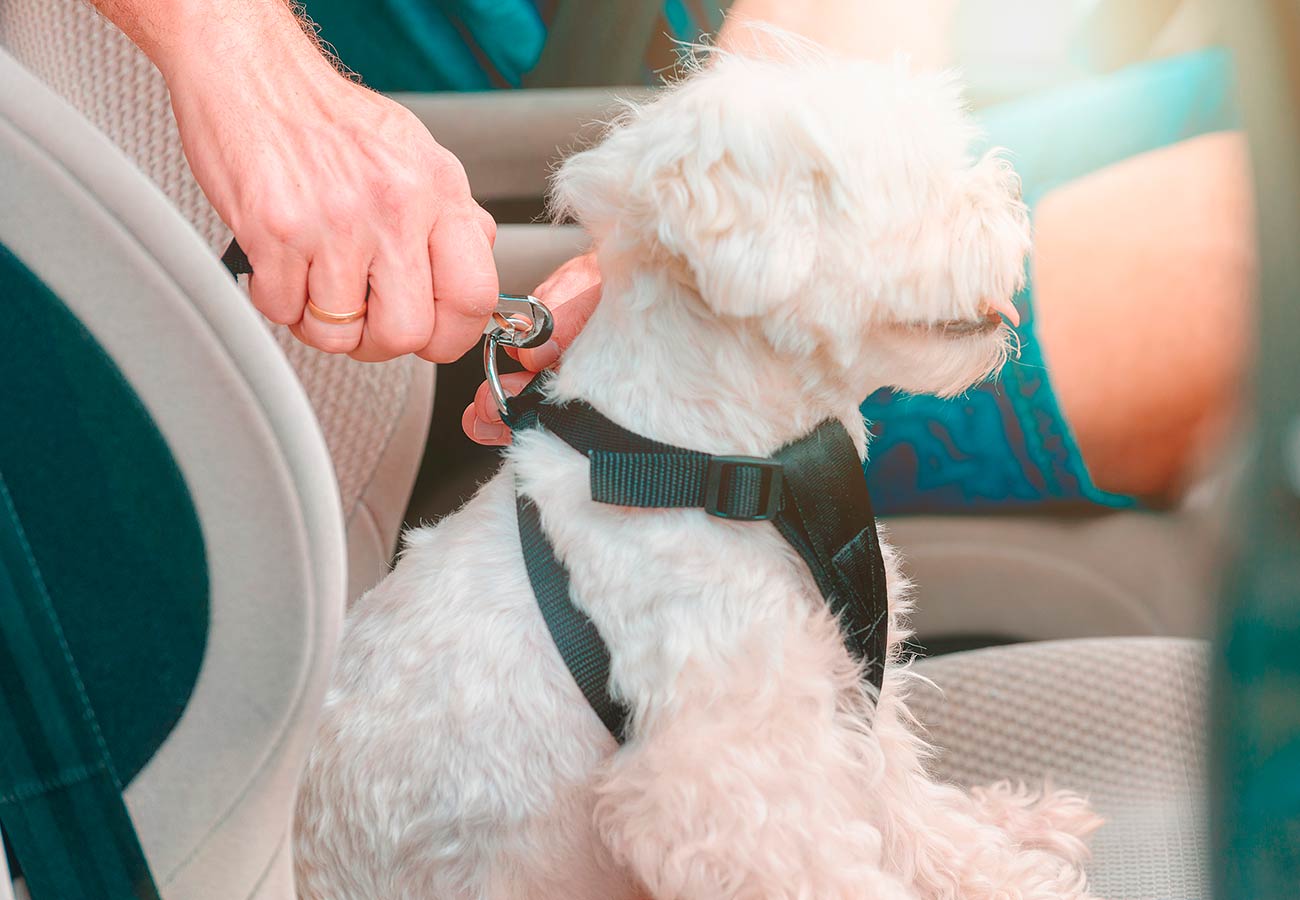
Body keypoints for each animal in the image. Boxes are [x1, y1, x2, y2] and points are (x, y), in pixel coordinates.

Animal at [299, 36, 1102, 900]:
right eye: (910, 179)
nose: (1012, 197)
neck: (721, 464)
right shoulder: (727, 779)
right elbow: (834, 861)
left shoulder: (843, 689)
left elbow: (907, 805)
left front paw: (1002, 860)